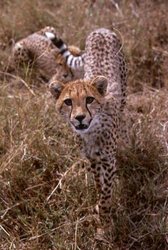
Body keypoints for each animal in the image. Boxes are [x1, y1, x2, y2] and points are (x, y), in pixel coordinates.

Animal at [49, 28, 127, 232]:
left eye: (89, 99)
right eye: (68, 102)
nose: (79, 117)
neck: (91, 132)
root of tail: (101, 30)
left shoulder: (108, 161)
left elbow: (107, 191)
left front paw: (104, 219)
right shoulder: (92, 159)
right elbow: (99, 184)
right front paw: (100, 206)